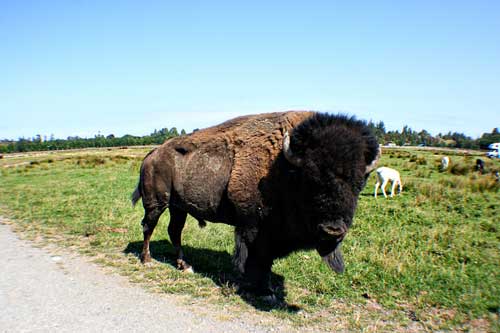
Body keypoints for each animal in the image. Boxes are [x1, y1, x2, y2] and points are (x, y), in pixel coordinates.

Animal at [132, 110, 378, 296]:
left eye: (358, 183)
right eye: (311, 178)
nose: (333, 230)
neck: (283, 166)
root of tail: (152, 154)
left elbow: (266, 262)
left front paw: (265, 289)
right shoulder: (253, 227)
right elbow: (255, 258)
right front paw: (258, 289)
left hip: (178, 208)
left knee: (174, 231)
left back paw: (185, 266)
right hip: (157, 204)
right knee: (148, 227)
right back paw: (147, 259)